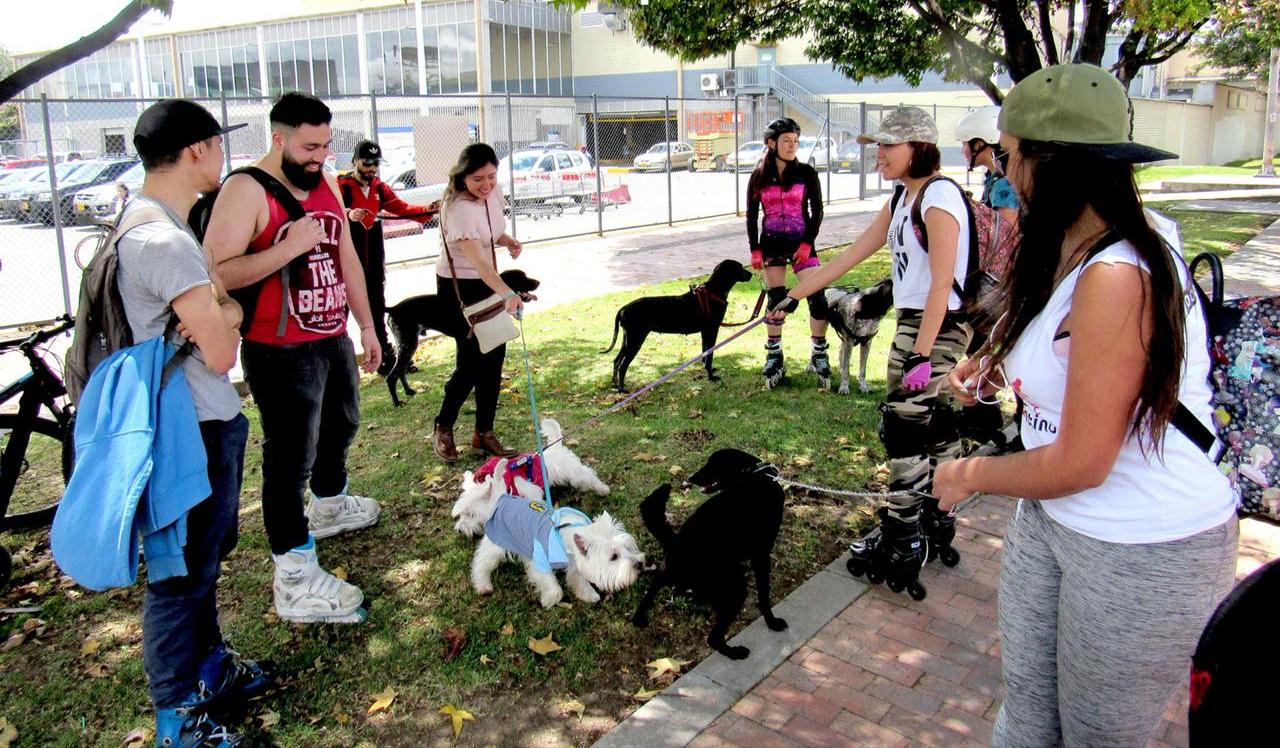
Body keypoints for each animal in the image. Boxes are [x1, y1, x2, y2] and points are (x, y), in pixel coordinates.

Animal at [378, 268, 540, 407]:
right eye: (522, 277)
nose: (538, 282)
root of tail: (394, 308)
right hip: (408, 344)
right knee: (392, 375)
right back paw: (397, 402)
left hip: (409, 345)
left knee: (400, 371)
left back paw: (408, 391)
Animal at [601, 258, 752, 391]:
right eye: (739, 267)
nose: (751, 274)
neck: (714, 291)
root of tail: (624, 308)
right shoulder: (712, 329)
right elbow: (709, 355)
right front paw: (710, 376)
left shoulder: (705, 332)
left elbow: (705, 353)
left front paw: (706, 370)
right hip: (635, 340)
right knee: (623, 366)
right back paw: (621, 389)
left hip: (627, 339)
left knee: (616, 360)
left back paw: (614, 384)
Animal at [632, 448, 783, 655]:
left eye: (713, 465)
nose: (690, 478)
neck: (753, 476)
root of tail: (675, 542)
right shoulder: (760, 555)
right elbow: (763, 595)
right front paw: (771, 621)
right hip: (734, 588)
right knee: (713, 639)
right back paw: (736, 653)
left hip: (679, 572)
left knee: (659, 581)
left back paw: (640, 615)